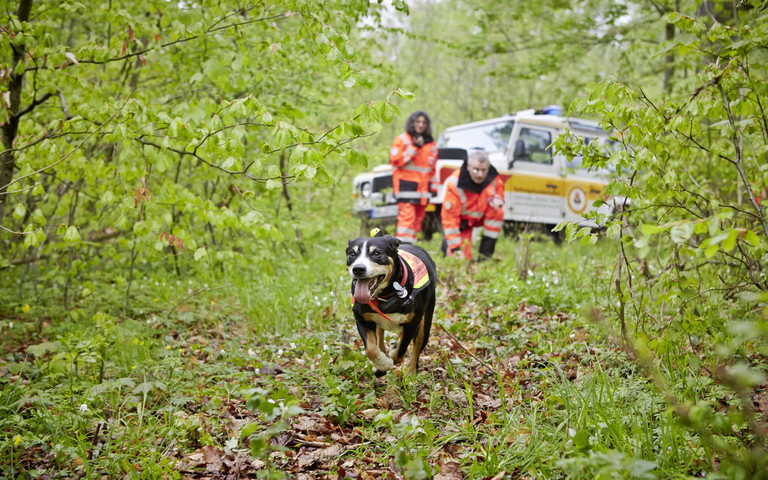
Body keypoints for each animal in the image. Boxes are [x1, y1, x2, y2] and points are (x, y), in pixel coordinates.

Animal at [344, 234, 436, 376]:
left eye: (377, 253)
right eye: (352, 253)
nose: (358, 268)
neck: (384, 297)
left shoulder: (412, 322)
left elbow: (400, 352)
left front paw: (390, 361)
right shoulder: (362, 319)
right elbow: (371, 350)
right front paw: (382, 364)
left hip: (425, 321)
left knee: (418, 345)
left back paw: (410, 370)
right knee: (380, 337)